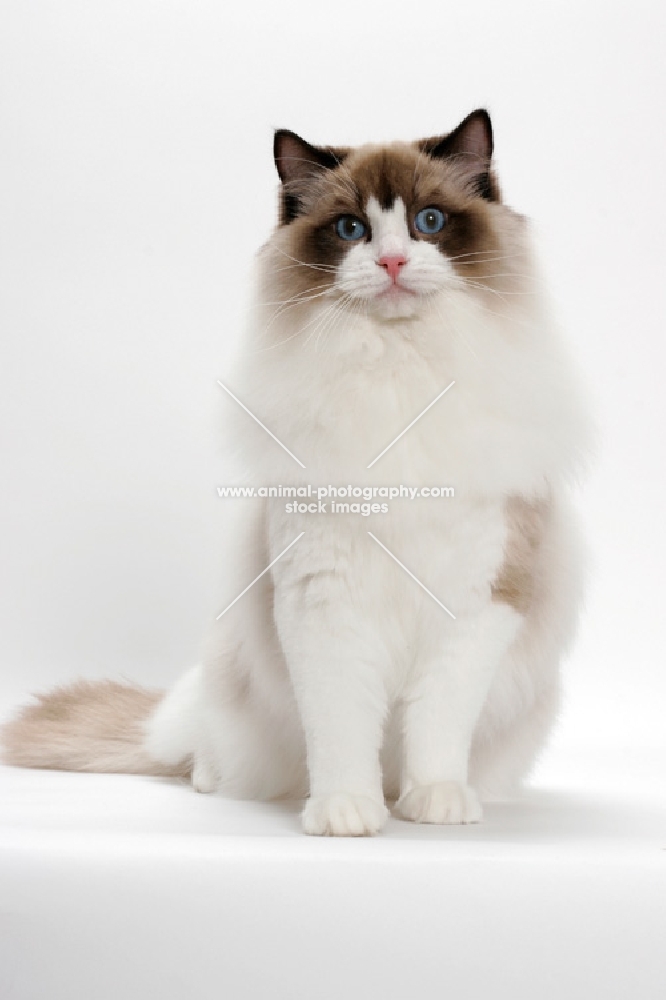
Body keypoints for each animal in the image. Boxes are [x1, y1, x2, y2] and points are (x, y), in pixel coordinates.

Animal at [2, 111, 588, 836]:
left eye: (428, 221)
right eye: (351, 230)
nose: (392, 262)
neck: (396, 379)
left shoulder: (479, 603)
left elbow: (437, 728)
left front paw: (435, 804)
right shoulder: (323, 600)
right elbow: (341, 732)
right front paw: (346, 814)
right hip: (223, 680)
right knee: (190, 747)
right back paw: (213, 778)